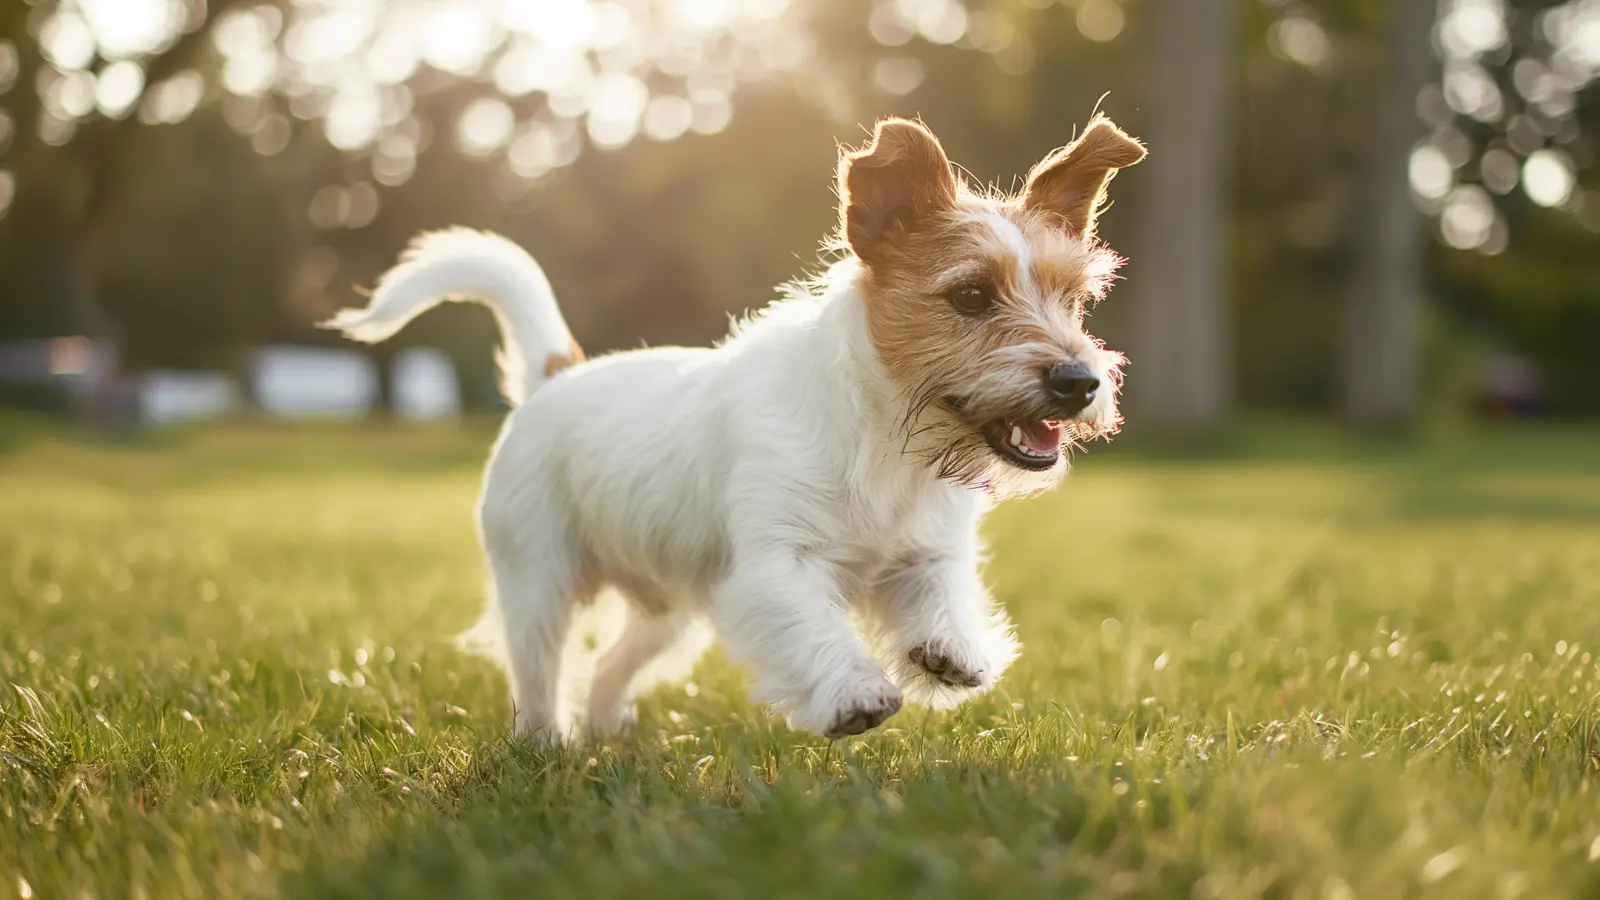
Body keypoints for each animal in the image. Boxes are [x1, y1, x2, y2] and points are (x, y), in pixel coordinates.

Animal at [324, 115, 1145, 739]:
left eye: (1075, 300)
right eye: (971, 296)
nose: (1079, 382)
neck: (886, 437)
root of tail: (557, 375)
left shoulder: (924, 555)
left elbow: (941, 597)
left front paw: (949, 652)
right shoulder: (773, 569)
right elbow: (816, 627)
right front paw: (853, 693)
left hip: (666, 614)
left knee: (611, 665)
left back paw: (606, 735)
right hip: (539, 583)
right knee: (540, 671)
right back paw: (544, 746)